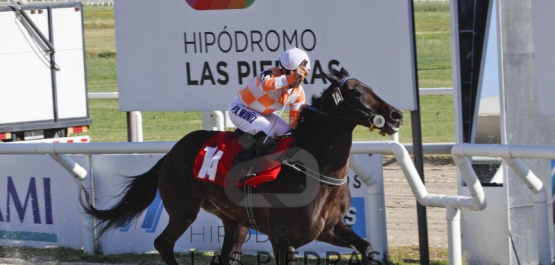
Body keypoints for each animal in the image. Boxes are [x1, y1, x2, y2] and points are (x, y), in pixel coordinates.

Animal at [79, 67, 404, 264]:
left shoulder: (330, 228)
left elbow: (367, 248)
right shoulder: (283, 240)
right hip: (183, 210)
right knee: (163, 243)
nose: (396, 115)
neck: (319, 174)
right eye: (357, 94)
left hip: (236, 222)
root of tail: (170, 154)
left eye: (370, 87)